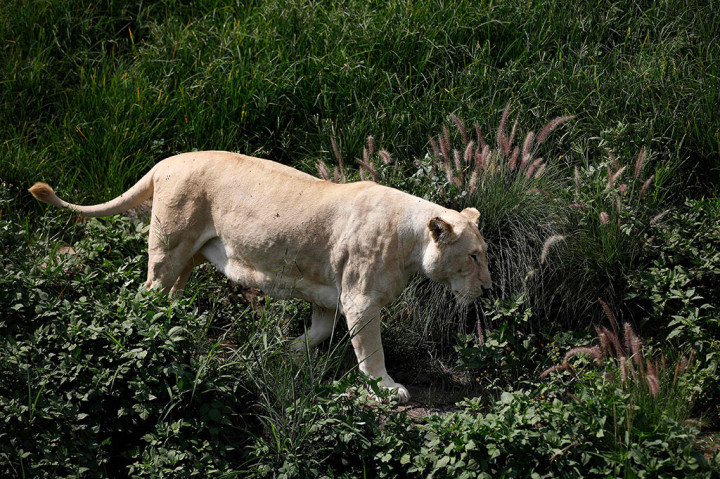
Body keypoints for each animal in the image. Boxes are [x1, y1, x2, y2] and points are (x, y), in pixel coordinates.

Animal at [29, 151, 492, 402]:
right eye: (473, 256)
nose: (488, 289)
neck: (411, 240)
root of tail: (164, 163)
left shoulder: (328, 293)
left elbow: (320, 331)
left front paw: (284, 352)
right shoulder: (360, 299)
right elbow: (370, 350)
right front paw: (387, 387)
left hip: (191, 254)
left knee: (172, 291)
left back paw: (179, 327)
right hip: (169, 244)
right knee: (150, 291)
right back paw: (153, 332)